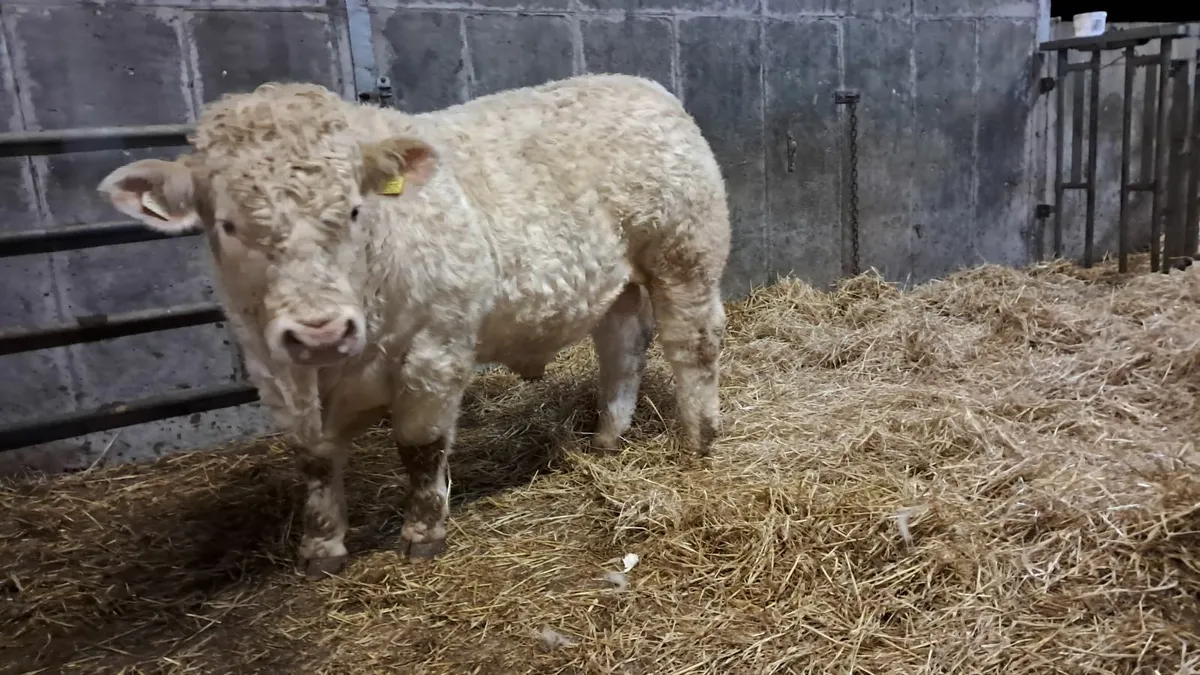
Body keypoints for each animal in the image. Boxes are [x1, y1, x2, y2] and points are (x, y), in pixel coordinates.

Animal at [96, 74, 731, 579]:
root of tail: (642, 86)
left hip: (685, 256)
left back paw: (697, 439)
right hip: (618, 287)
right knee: (621, 348)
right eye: (228, 225)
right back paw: (606, 441)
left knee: (692, 345)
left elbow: (419, 447)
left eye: (354, 210)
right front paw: (321, 548)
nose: (321, 331)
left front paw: (423, 534)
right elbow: (314, 460)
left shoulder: (436, 348)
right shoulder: (272, 366)